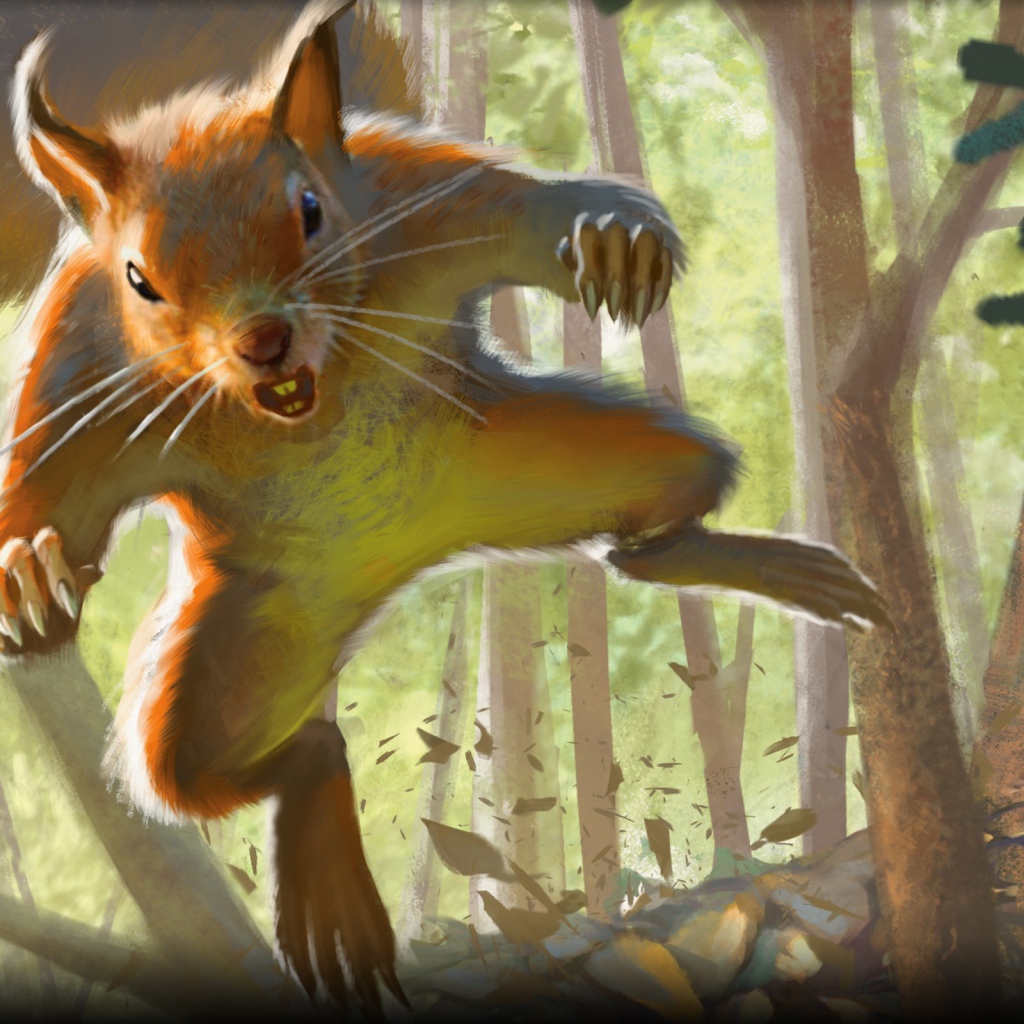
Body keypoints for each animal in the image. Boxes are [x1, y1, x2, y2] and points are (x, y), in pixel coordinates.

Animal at [1, 0, 887, 1014]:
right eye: (139, 277)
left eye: (311, 211)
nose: (262, 340)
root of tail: (403, 554)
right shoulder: (82, 366)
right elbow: (41, 487)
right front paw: (29, 569)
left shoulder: (423, 199)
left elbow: (527, 208)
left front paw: (612, 235)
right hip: (239, 647)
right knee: (232, 762)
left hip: (579, 457)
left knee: (651, 531)